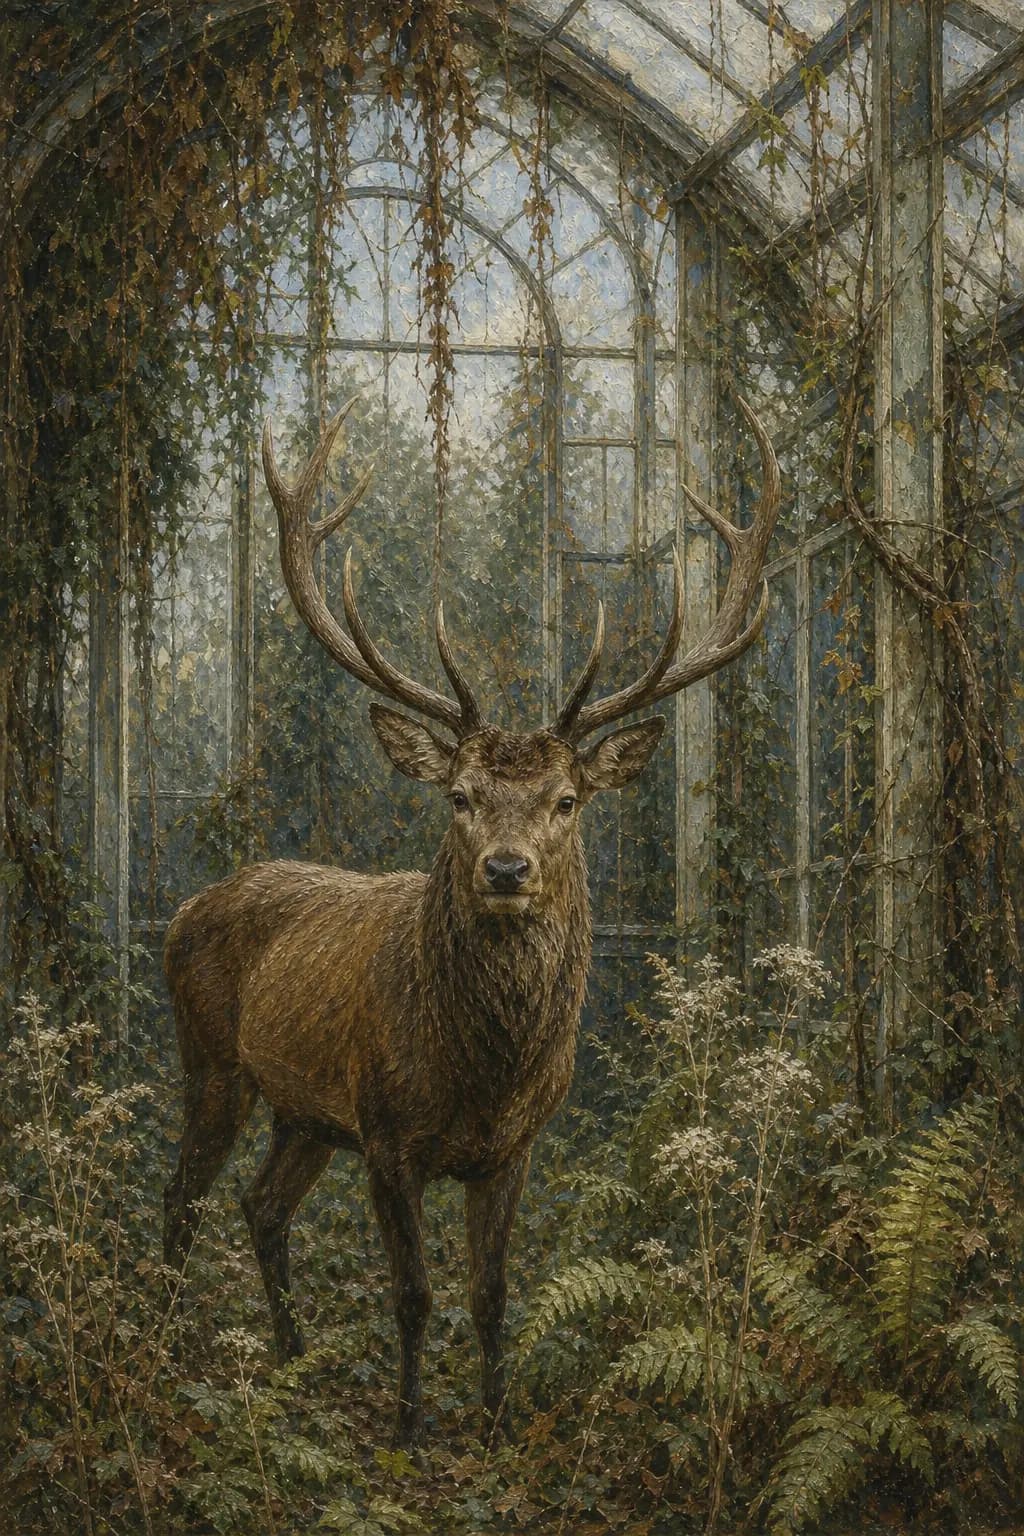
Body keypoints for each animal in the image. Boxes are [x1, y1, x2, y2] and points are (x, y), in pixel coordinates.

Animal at [162, 393, 780, 1448]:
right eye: (458, 795)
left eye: (567, 800)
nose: (505, 868)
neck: (483, 1070)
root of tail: (182, 910)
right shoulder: (386, 1131)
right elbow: (414, 1294)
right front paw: (410, 1427)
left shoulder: (514, 1146)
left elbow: (493, 1294)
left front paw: (495, 1420)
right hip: (215, 1065)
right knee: (182, 1195)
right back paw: (158, 1337)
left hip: (303, 1113)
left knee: (259, 1204)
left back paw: (287, 1354)